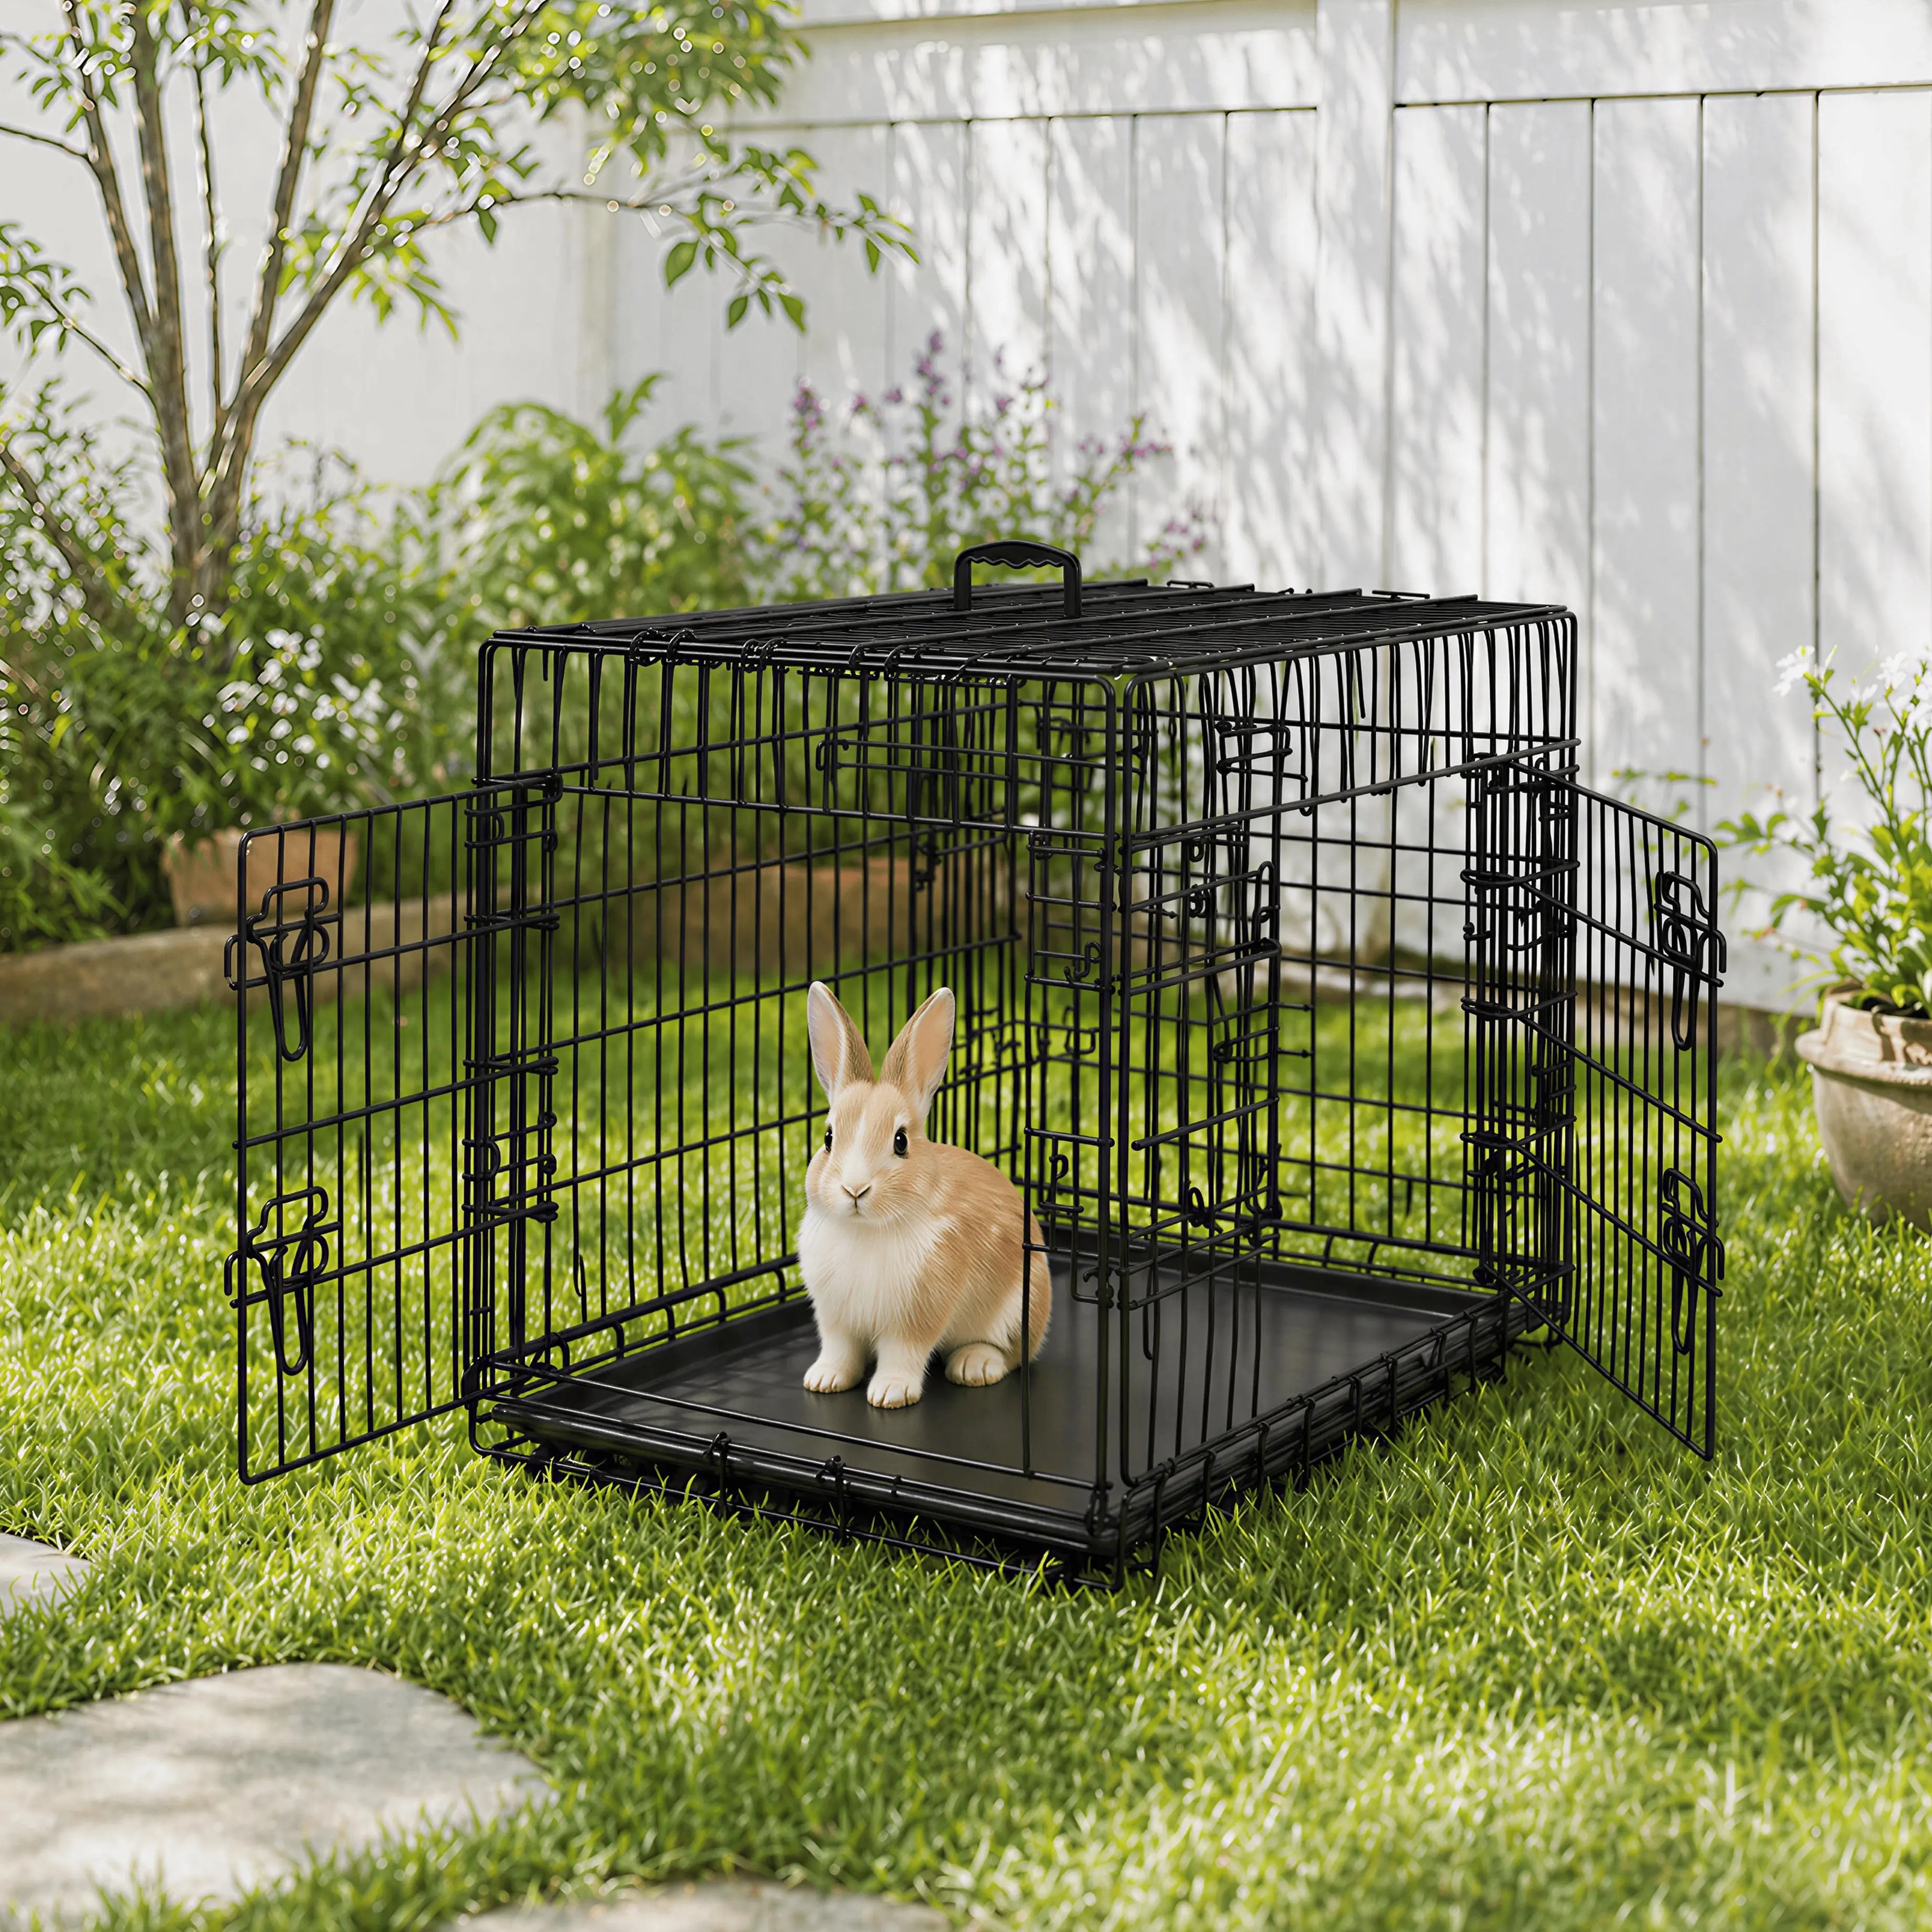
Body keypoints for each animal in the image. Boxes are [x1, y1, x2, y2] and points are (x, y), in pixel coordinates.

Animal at [796, 980, 1052, 1408]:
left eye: (901, 1142)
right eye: (829, 1138)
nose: (854, 1188)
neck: (867, 1230)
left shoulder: (916, 1317)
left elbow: (904, 1353)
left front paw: (889, 1393)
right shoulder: (837, 1318)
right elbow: (840, 1351)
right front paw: (823, 1380)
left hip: (1021, 1309)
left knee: (1015, 1355)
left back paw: (974, 1365)